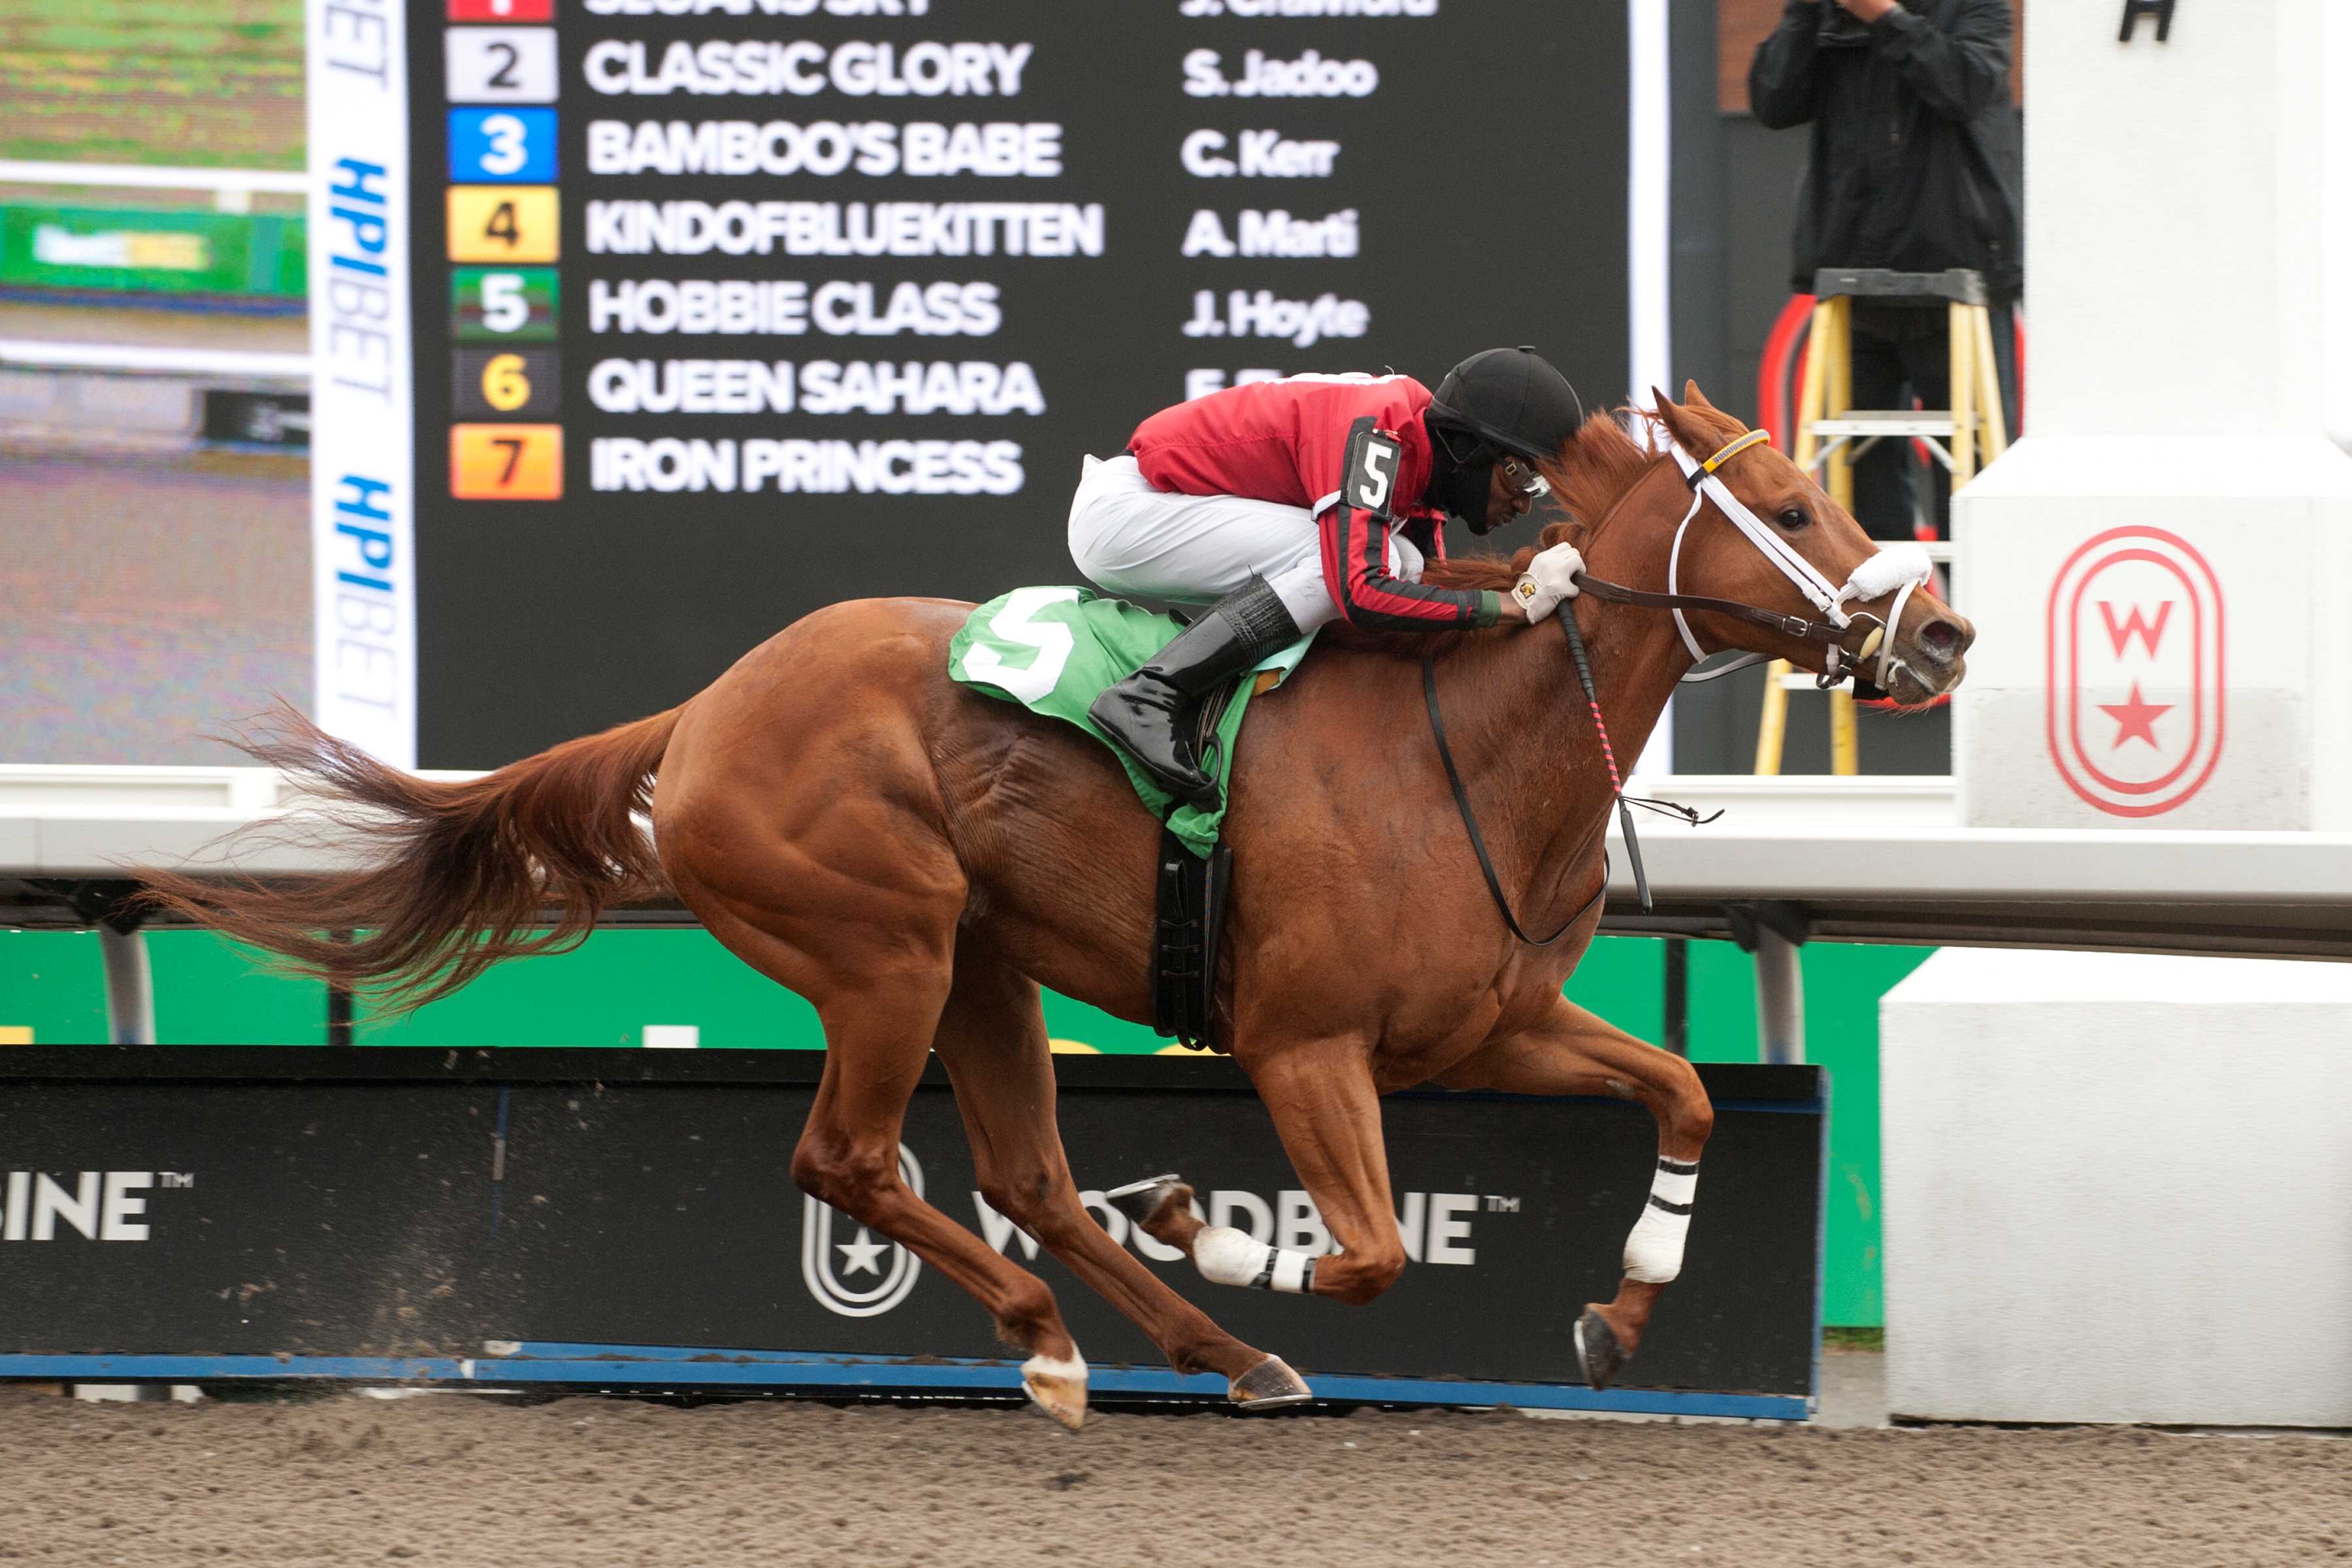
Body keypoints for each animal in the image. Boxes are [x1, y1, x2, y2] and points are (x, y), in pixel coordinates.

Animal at [144, 385, 1972, 1429]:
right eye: (1793, 511)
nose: (1942, 632)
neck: (1470, 747)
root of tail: (705, 708)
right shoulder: (1304, 1043)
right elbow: (1370, 1247)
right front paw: (1207, 1214)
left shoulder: (1492, 1024)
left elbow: (1683, 1095)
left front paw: (1624, 1304)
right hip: (884, 945)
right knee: (850, 1161)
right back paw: (1056, 1339)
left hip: (982, 964)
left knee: (1021, 1170)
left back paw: (1213, 1349)